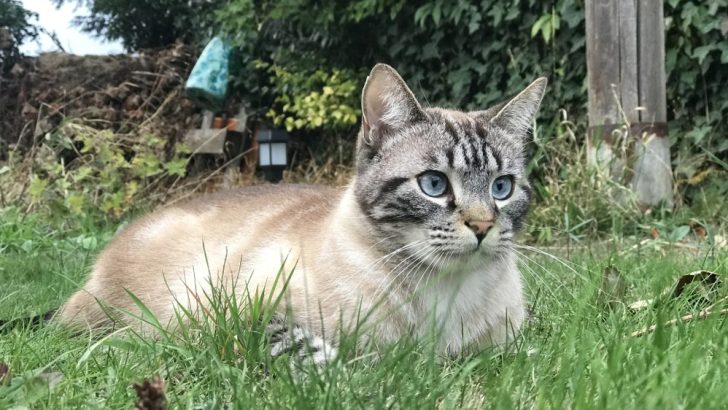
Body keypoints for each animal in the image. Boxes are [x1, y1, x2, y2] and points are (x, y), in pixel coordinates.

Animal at [57, 63, 544, 362]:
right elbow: (315, 356)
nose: (482, 225)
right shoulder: (243, 312)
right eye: (434, 185)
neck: (444, 297)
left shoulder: (505, 349)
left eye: (502, 188)